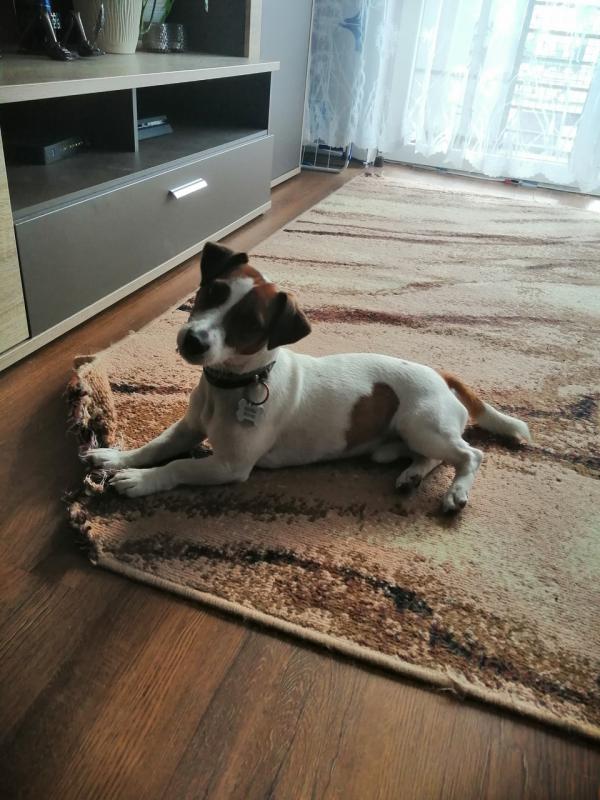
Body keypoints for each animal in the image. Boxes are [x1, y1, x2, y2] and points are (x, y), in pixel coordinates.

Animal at [86, 241, 531, 511]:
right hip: (413, 435)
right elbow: (156, 447)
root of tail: (440, 374)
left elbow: (177, 467)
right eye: (212, 292)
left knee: (470, 454)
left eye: (250, 325)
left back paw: (457, 491)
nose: (193, 340)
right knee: (433, 456)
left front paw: (140, 480)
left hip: (422, 424)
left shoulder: (230, 465)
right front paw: (117, 457)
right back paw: (411, 475)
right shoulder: (188, 428)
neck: (234, 385)